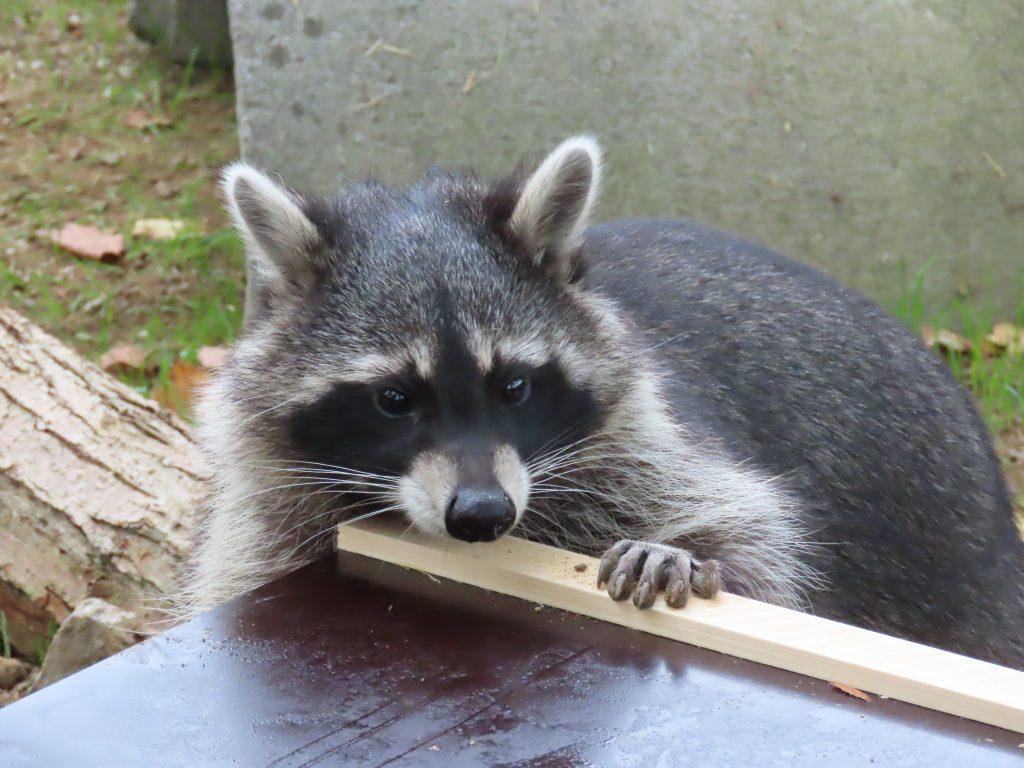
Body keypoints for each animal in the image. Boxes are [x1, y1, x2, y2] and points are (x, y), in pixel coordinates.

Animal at [184, 137, 1024, 667]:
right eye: (395, 399)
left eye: (514, 386)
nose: (483, 515)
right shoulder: (272, 505)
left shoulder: (650, 436)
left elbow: (757, 539)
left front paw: (689, 553)